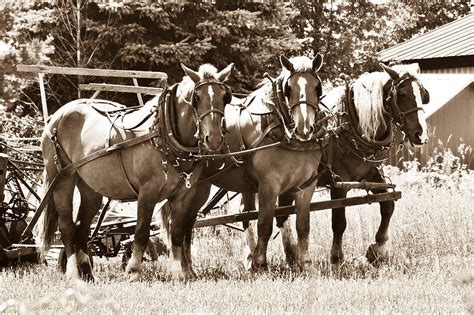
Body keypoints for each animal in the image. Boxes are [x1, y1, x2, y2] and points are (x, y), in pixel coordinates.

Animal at [40, 62, 233, 282]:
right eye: (197, 97)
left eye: (225, 97)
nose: (214, 139)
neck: (164, 132)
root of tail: (55, 117)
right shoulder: (147, 191)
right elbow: (141, 231)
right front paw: (133, 270)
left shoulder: (184, 194)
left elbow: (177, 233)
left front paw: (179, 274)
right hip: (62, 179)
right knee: (67, 227)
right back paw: (73, 273)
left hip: (90, 187)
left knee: (82, 226)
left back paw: (88, 273)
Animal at [162, 55, 326, 274]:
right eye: (288, 88)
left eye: (317, 87)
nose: (304, 128)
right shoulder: (268, 186)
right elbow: (264, 225)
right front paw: (260, 263)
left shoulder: (306, 186)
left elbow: (302, 226)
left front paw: (306, 264)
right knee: (179, 223)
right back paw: (183, 266)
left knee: (187, 223)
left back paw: (189, 268)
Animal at [243, 63, 432, 266]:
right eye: (402, 95)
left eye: (423, 94)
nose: (421, 135)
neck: (352, 125)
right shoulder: (339, 184)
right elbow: (339, 221)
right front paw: (337, 256)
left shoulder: (373, 176)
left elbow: (388, 205)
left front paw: (378, 249)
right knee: (247, 213)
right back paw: (251, 255)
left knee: (281, 213)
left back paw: (291, 253)